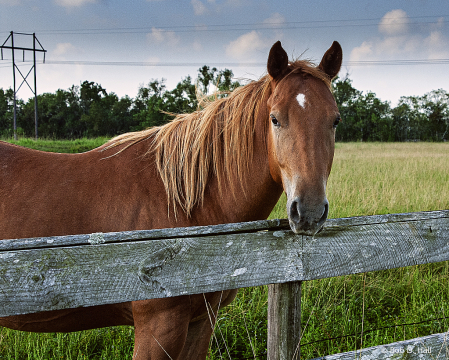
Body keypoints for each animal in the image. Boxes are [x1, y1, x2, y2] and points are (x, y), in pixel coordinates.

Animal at [0, 40, 342, 360]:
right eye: (274, 119)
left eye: (335, 121)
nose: (309, 211)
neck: (184, 207)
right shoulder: (158, 327)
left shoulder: (201, 322)